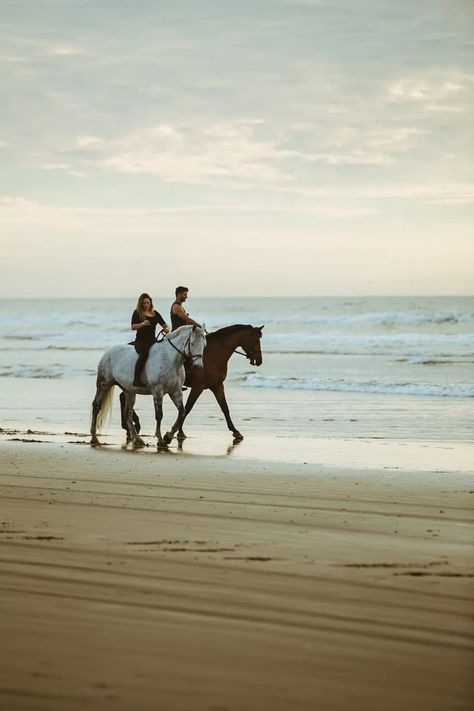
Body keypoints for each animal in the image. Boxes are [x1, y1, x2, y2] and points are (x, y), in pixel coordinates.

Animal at [120, 326, 262, 442]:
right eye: (255, 340)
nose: (259, 360)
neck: (215, 353)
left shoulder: (217, 385)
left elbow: (225, 408)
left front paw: (235, 431)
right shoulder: (198, 387)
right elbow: (187, 408)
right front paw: (177, 432)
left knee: (123, 396)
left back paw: (129, 426)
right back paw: (131, 426)